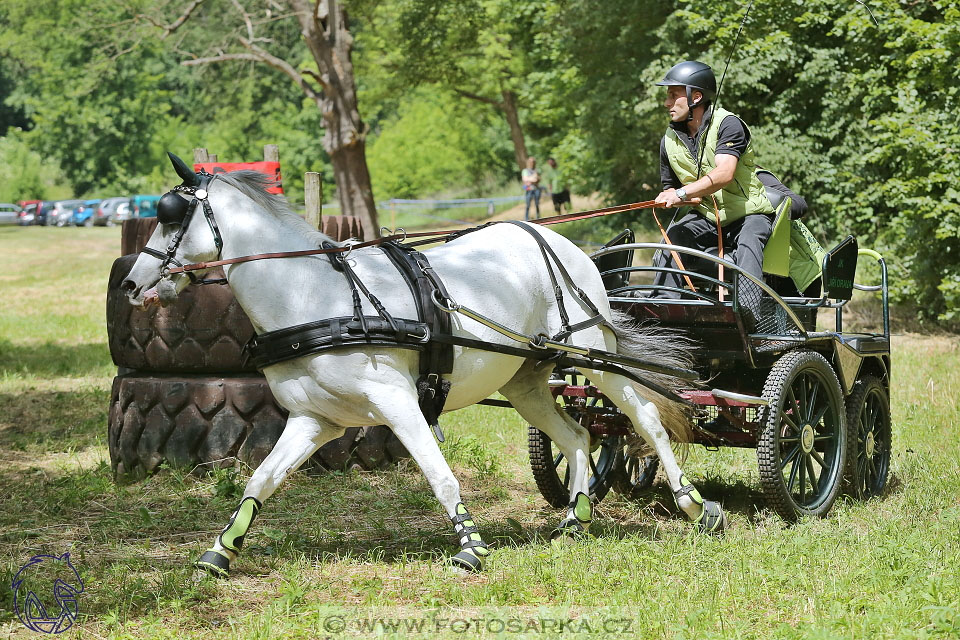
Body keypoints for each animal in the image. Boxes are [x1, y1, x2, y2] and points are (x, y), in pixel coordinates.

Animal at [118, 158, 720, 576]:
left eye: (170, 216)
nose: (129, 283)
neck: (315, 295)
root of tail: (551, 236)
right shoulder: (315, 420)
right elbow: (261, 480)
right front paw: (220, 552)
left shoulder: (399, 402)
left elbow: (439, 474)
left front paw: (471, 549)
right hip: (527, 378)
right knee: (577, 435)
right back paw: (575, 521)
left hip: (592, 356)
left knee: (645, 419)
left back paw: (695, 506)